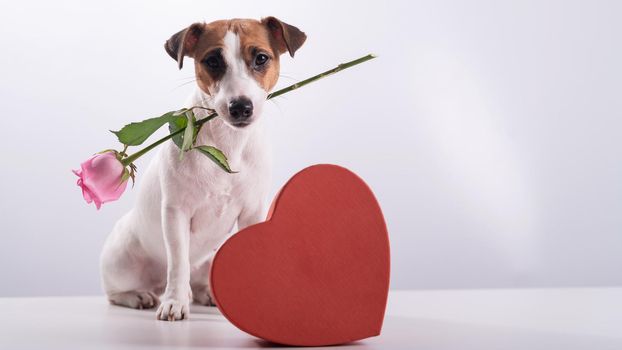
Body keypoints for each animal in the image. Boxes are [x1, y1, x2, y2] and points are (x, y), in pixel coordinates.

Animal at [98, 17, 308, 322]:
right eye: (212, 61)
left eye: (261, 58)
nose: (240, 106)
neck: (227, 144)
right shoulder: (176, 214)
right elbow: (178, 263)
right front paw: (174, 302)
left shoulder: (252, 212)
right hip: (122, 259)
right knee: (117, 291)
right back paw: (140, 295)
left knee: (197, 281)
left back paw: (206, 292)